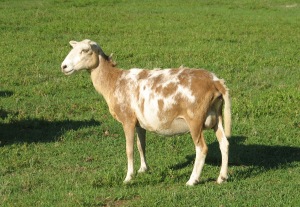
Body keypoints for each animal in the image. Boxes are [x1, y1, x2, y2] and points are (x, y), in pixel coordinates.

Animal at [59, 39, 231, 186]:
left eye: (85, 50)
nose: (64, 66)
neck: (113, 81)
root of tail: (216, 82)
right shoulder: (139, 122)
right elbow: (141, 145)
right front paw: (143, 169)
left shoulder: (127, 119)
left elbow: (129, 149)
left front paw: (128, 177)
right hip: (217, 116)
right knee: (224, 143)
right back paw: (222, 177)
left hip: (195, 120)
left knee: (202, 148)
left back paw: (192, 180)